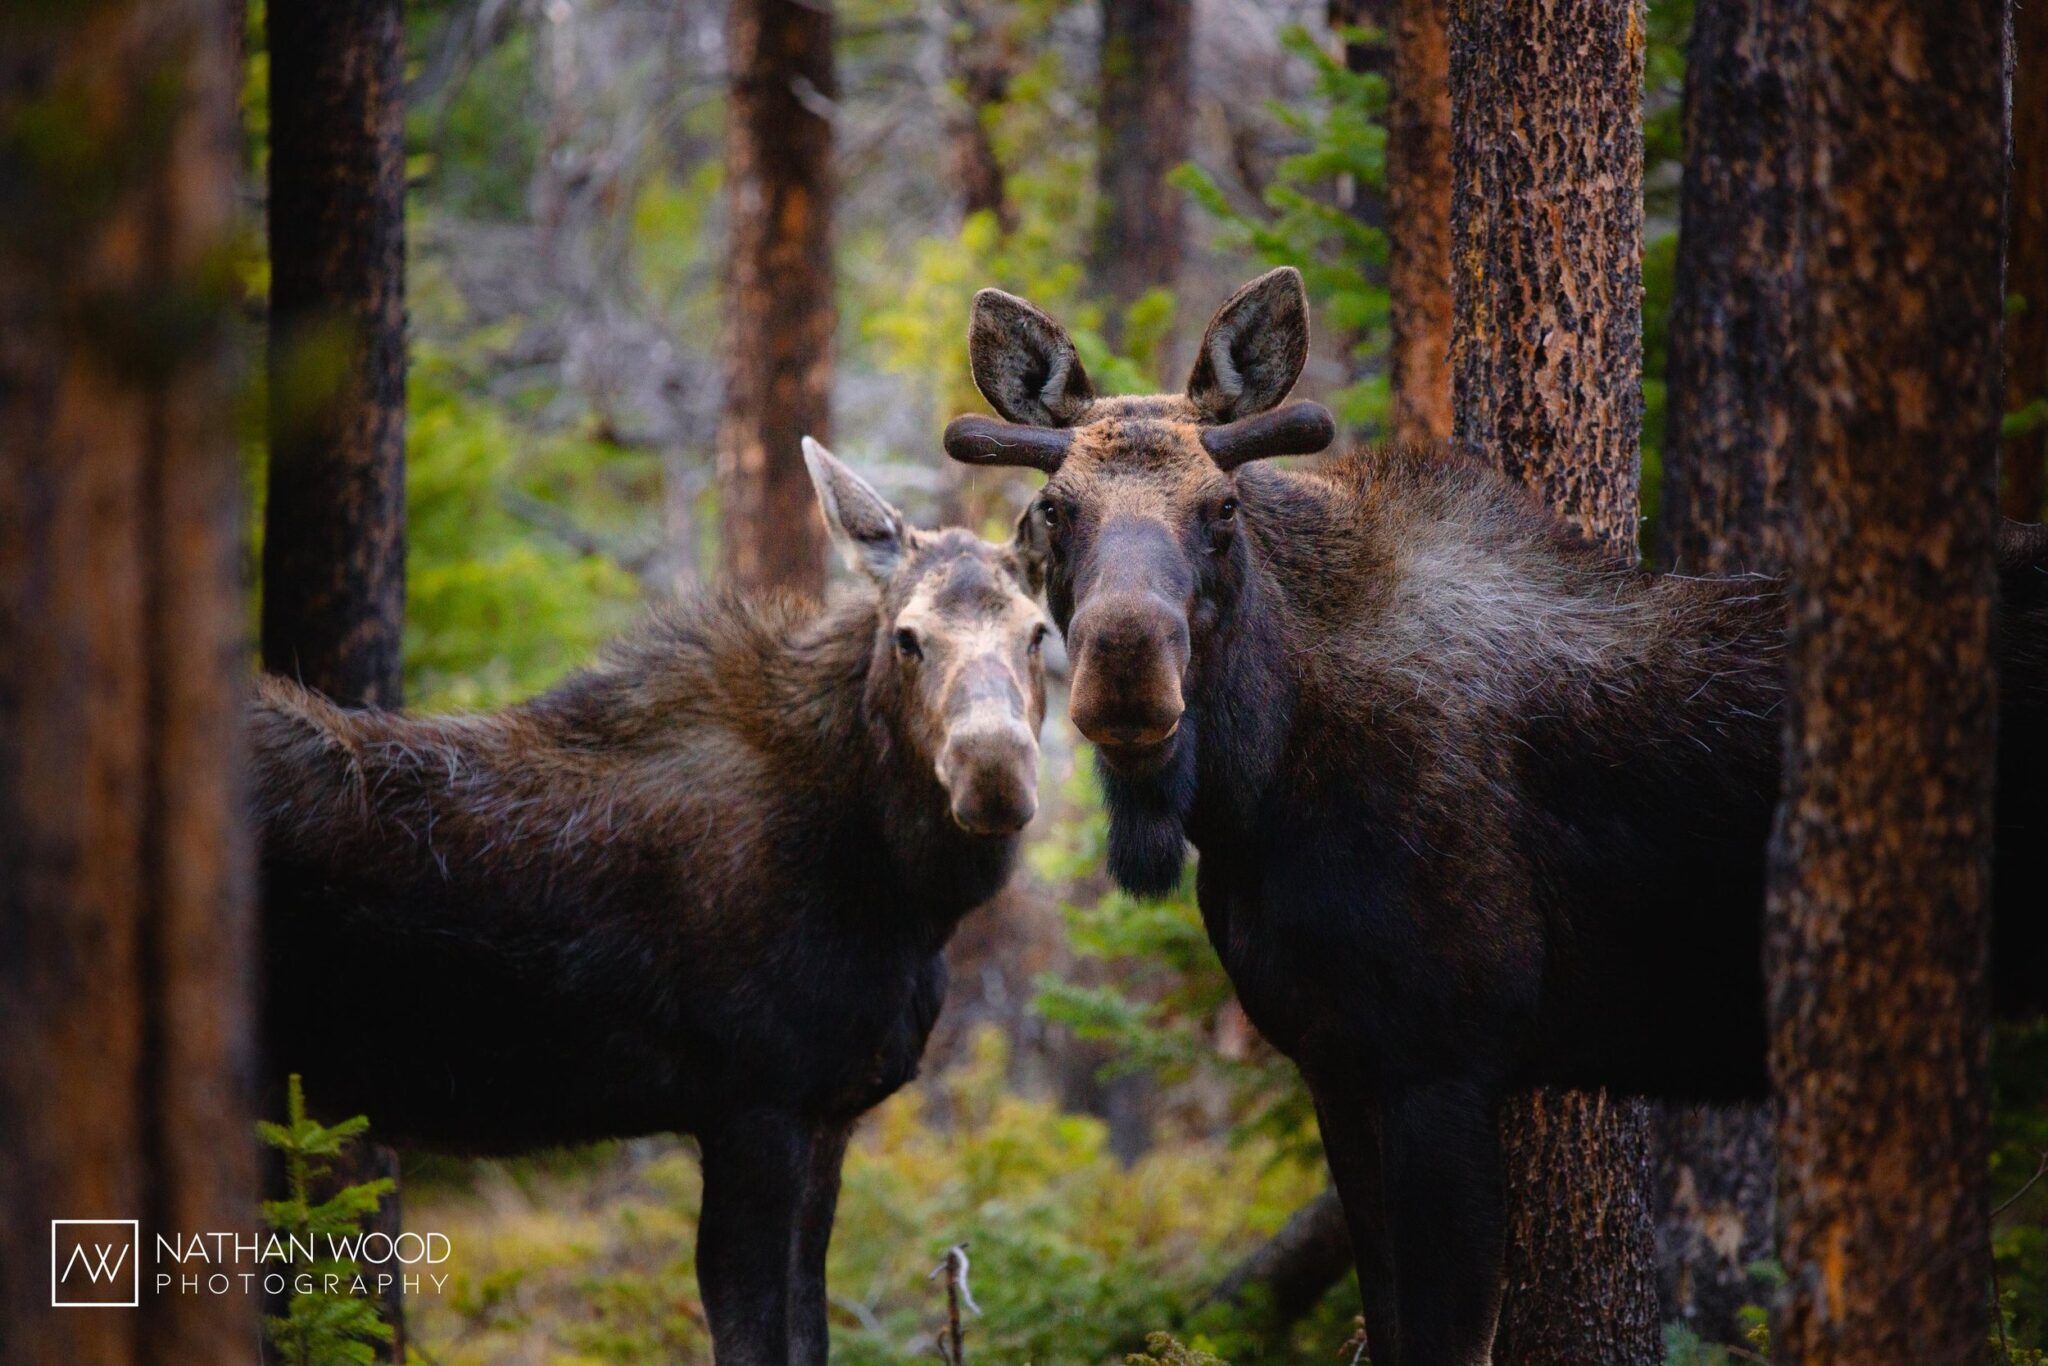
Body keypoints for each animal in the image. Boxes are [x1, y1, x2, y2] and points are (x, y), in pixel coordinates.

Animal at [250, 440, 1052, 1365]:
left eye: (1040, 633)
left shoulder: (829, 1114)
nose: (993, 770)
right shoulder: (753, 1104)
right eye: (908, 638)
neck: (900, 897)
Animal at [941, 267, 2048, 1365]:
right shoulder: (1333, 1061)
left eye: (1220, 508)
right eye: (1052, 508)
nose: (1125, 664)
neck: (1257, 790)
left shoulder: (1445, 1061)